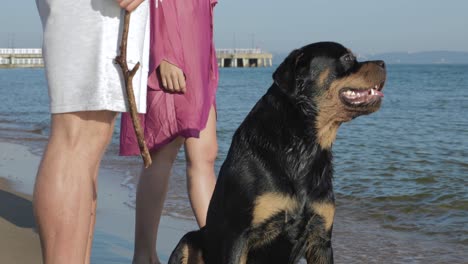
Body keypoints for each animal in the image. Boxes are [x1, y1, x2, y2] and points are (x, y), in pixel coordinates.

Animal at [169, 42, 388, 262]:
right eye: (347, 58)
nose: (383, 63)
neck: (304, 146)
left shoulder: (321, 238)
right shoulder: (237, 235)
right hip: (188, 241)